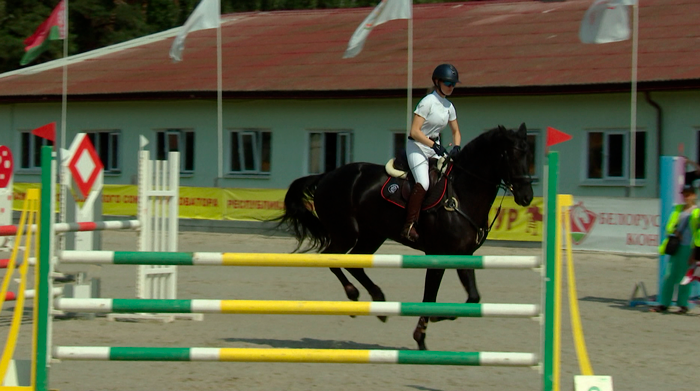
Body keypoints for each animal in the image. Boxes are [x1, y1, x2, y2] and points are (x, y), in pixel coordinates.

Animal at [276, 122, 532, 350]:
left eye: (528, 154)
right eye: (510, 155)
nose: (527, 197)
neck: (461, 195)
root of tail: (327, 175)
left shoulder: (463, 255)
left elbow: (473, 298)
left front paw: (435, 323)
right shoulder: (438, 255)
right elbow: (430, 298)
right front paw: (422, 333)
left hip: (372, 235)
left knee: (355, 263)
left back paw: (378, 300)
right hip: (346, 233)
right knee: (332, 258)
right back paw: (353, 294)